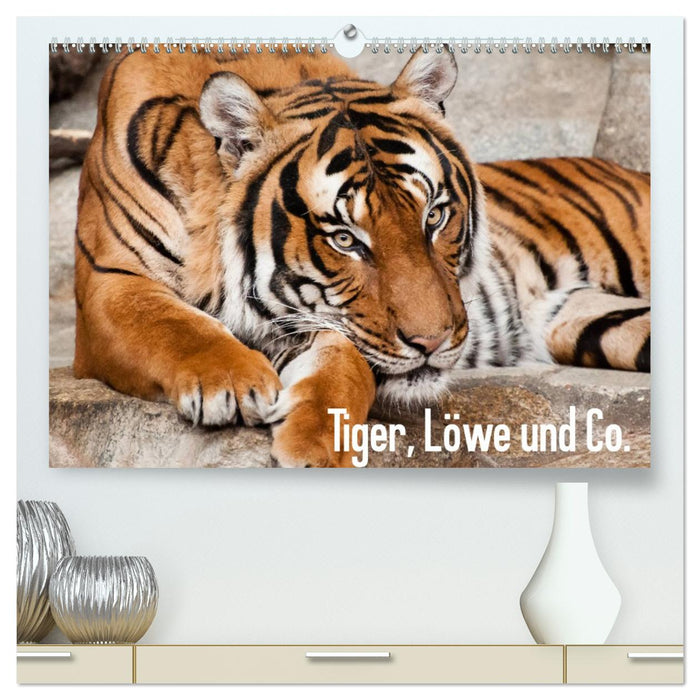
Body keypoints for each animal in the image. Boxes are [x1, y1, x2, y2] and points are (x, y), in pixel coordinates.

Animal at [73, 46, 650, 468]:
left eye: (434, 216)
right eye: (346, 239)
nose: (433, 343)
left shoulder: (319, 317)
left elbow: (347, 364)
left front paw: (317, 444)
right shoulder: (109, 282)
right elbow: (168, 322)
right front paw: (231, 383)